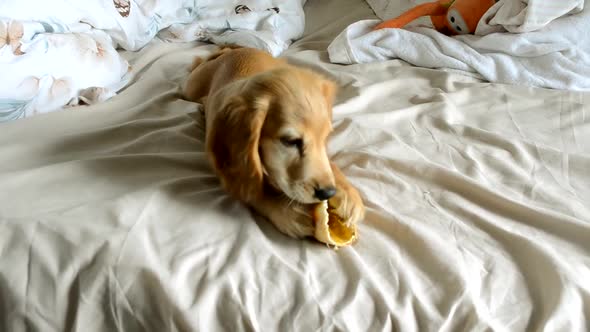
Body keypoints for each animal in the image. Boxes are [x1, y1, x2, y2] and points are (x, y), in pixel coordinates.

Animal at [183, 46, 366, 239]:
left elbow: (329, 163)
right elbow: (250, 184)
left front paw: (347, 193)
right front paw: (286, 211)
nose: (328, 192)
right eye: (291, 141)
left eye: (325, 138)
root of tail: (236, 49)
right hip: (191, 85)